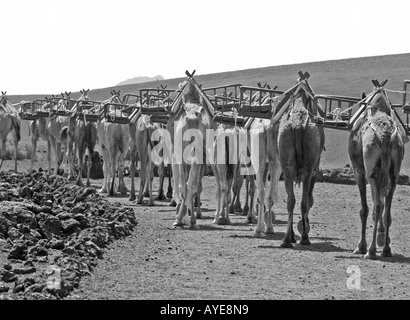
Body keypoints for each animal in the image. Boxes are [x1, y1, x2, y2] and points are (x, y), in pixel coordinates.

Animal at [348, 85, 406, 260]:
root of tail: (385, 135)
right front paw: (382, 236)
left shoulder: (359, 172)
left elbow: (364, 209)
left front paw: (361, 246)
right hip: (393, 173)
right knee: (386, 209)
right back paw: (386, 249)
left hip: (370, 172)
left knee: (377, 207)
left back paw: (371, 250)